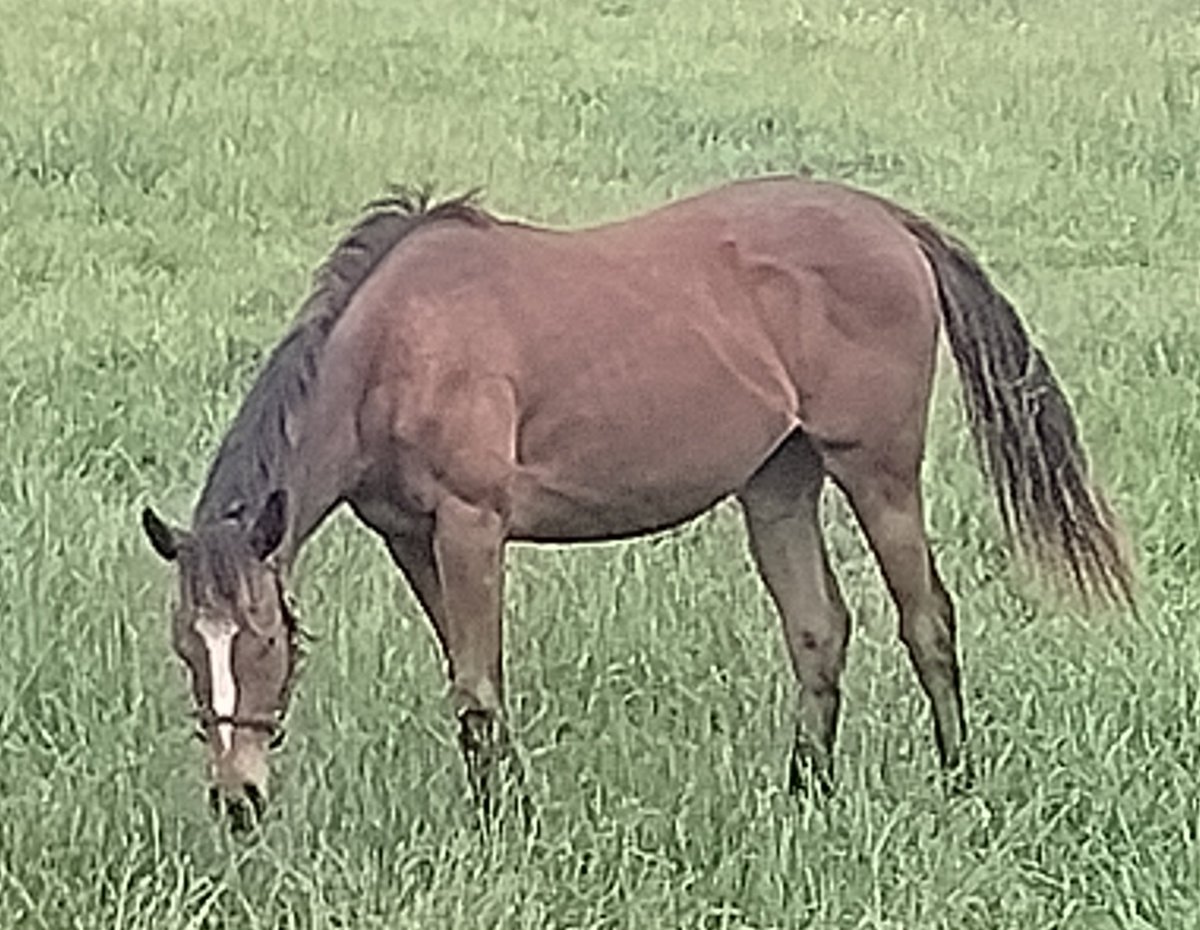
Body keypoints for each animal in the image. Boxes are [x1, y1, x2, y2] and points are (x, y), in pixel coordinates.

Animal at [140, 176, 1132, 830]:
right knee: (818, 630)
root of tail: (884, 217)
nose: (237, 799)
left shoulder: (472, 524)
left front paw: (509, 826)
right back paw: (804, 795)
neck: (395, 347)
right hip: (778, 482)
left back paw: (959, 784)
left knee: (927, 620)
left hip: (878, 470)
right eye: (188, 647)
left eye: (264, 643)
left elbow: (479, 684)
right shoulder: (409, 537)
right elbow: (466, 682)